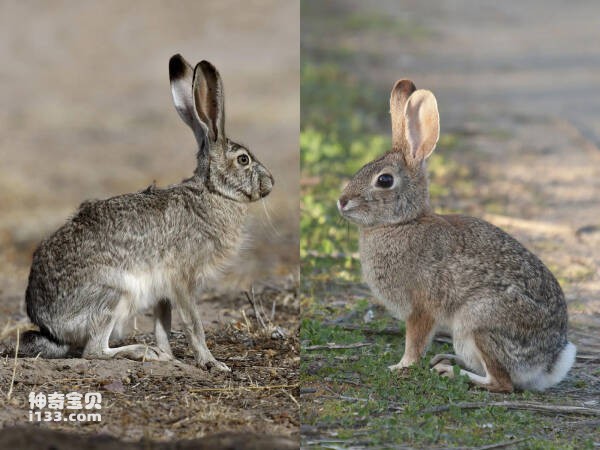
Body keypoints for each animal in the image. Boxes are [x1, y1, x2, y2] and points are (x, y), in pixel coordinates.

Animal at [20, 54, 274, 370]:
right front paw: (211, 363)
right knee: (94, 350)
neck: (212, 192)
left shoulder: (163, 289)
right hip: (113, 295)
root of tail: (49, 326)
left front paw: (168, 356)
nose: (270, 184)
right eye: (243, 160)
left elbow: (163, 323)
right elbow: (193, 324)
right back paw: (141, 351)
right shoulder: (182, 279)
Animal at [340, 79, 576, 392]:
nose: (342, 201)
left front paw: (401, 366)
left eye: (385, 180)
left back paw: (451, 372)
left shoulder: (422, 307)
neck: (402, 222)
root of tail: (548, 363)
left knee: (502, 382)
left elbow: (415, 341)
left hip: (476, 322)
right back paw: (447, 360)